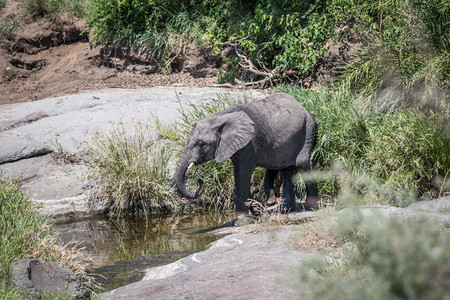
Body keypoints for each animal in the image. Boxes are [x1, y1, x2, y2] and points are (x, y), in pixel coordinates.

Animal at [173, 92, 320, 214]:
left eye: (200, 144)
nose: (199, 180)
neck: (219, 117)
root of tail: (305, 109)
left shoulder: (250, 143)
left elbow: (242, 173)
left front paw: (242, 219)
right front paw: (252, 210)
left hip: (306, 131)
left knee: (301, 164)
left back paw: (311, 206)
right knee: (286, 170)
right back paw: (285, 209)